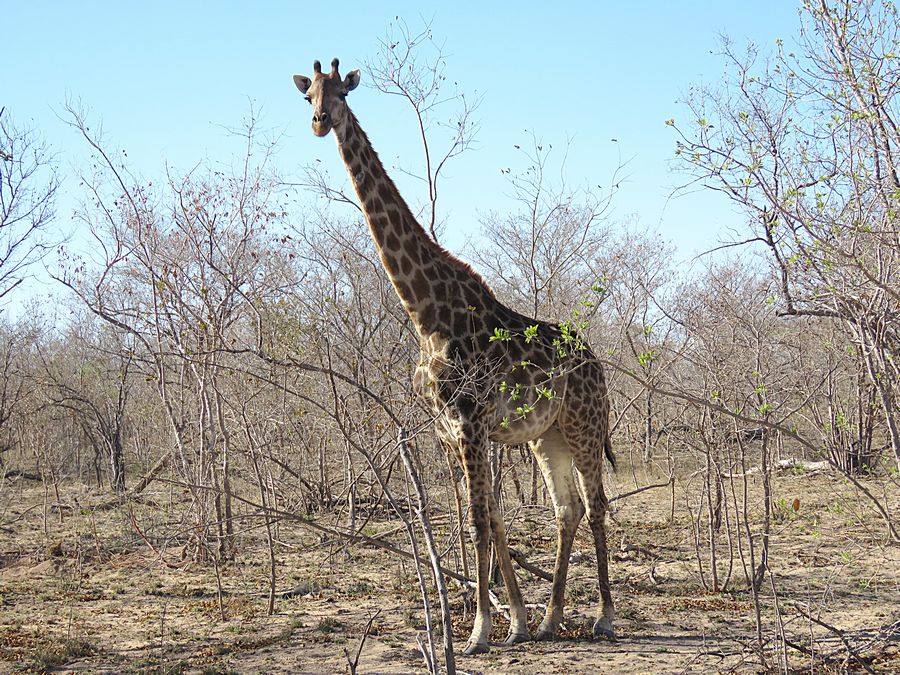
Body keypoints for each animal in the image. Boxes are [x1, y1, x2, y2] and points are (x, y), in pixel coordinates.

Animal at [293, 59, 617, 655]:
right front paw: (513, 622)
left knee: (597, 503)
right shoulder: (450, 427)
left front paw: (479, 631)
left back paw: (605, 617)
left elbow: (479, 519)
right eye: (309, 96)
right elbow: (486, 516)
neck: (425, 313)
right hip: (547, 435)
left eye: (343, 94)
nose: (321, 122)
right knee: (567, 509)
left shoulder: (470, 420)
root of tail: (596, 362)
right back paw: (551, 619)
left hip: (585, 424)